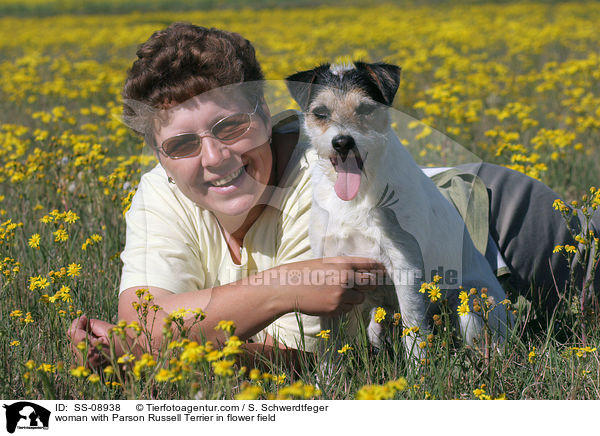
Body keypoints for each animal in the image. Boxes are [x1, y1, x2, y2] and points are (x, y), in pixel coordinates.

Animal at [286, 60, 510, 354]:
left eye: (365, 109)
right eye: (320, 113)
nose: (343, 142)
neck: (358, 195)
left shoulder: (406, 267)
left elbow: (413, 330)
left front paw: (418, 366)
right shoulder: (332, 270)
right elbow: (329, 342)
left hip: (470, 310)